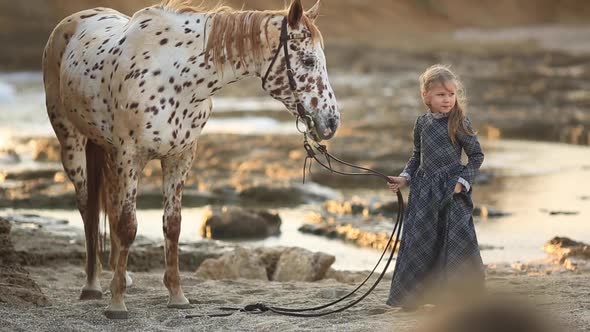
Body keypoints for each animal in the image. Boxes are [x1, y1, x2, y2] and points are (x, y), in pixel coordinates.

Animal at [42, 0, 342, 320]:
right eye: (308, 61)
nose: (331, 121)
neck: (175, 78)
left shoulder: (180, 157)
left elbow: (172, 225)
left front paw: (176, 296)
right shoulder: (130, 156)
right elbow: (128, 226)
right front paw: (117, 303)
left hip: (108, 153)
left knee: (108, 207)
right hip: (72, 144)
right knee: (88, 209)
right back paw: (93, 285)